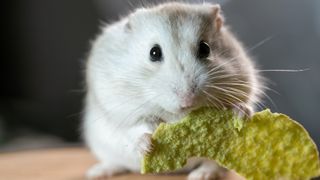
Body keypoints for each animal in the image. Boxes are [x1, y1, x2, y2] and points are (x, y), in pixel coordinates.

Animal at [82, 1, 262, 180]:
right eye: (154, 52)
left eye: (205, 48)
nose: (187, 100)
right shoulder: (122, 110)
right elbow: (137, 127)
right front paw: (148, 146)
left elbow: (241, 104)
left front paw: (241, 113)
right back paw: (96, 173)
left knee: (213, 165)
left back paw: (200, 175)